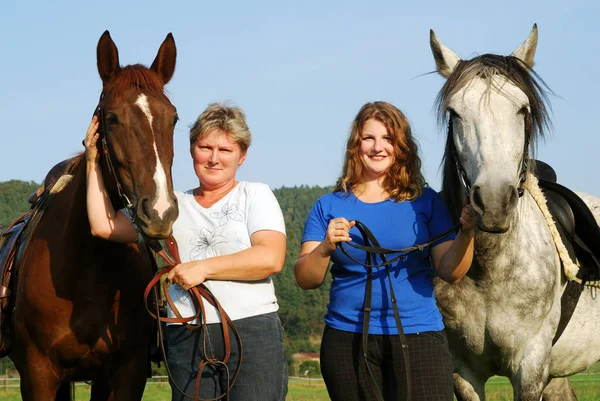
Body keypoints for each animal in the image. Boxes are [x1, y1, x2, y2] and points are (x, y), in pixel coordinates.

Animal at [428, 23, 600, 398]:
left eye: (522, 110)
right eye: (454, 113)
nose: (493, 203)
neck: (487, 269)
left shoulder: (530, 366)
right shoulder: (463, 373)